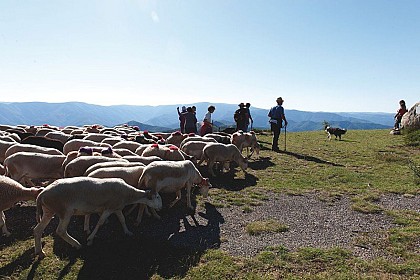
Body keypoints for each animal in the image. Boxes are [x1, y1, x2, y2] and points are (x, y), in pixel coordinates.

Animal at [33, 177, 162, 258]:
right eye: (157, 197)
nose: (161, 207)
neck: (128, 194)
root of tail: (41, 194)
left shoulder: (117, 208)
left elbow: (122, 220)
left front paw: (127, 232)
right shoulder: (109, 208)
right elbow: (100, 222)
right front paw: (90, 239)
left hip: (48, 210)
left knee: (37, 230)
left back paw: (40, 252)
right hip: (65, 211)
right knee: (61, 231)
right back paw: (77, 245)